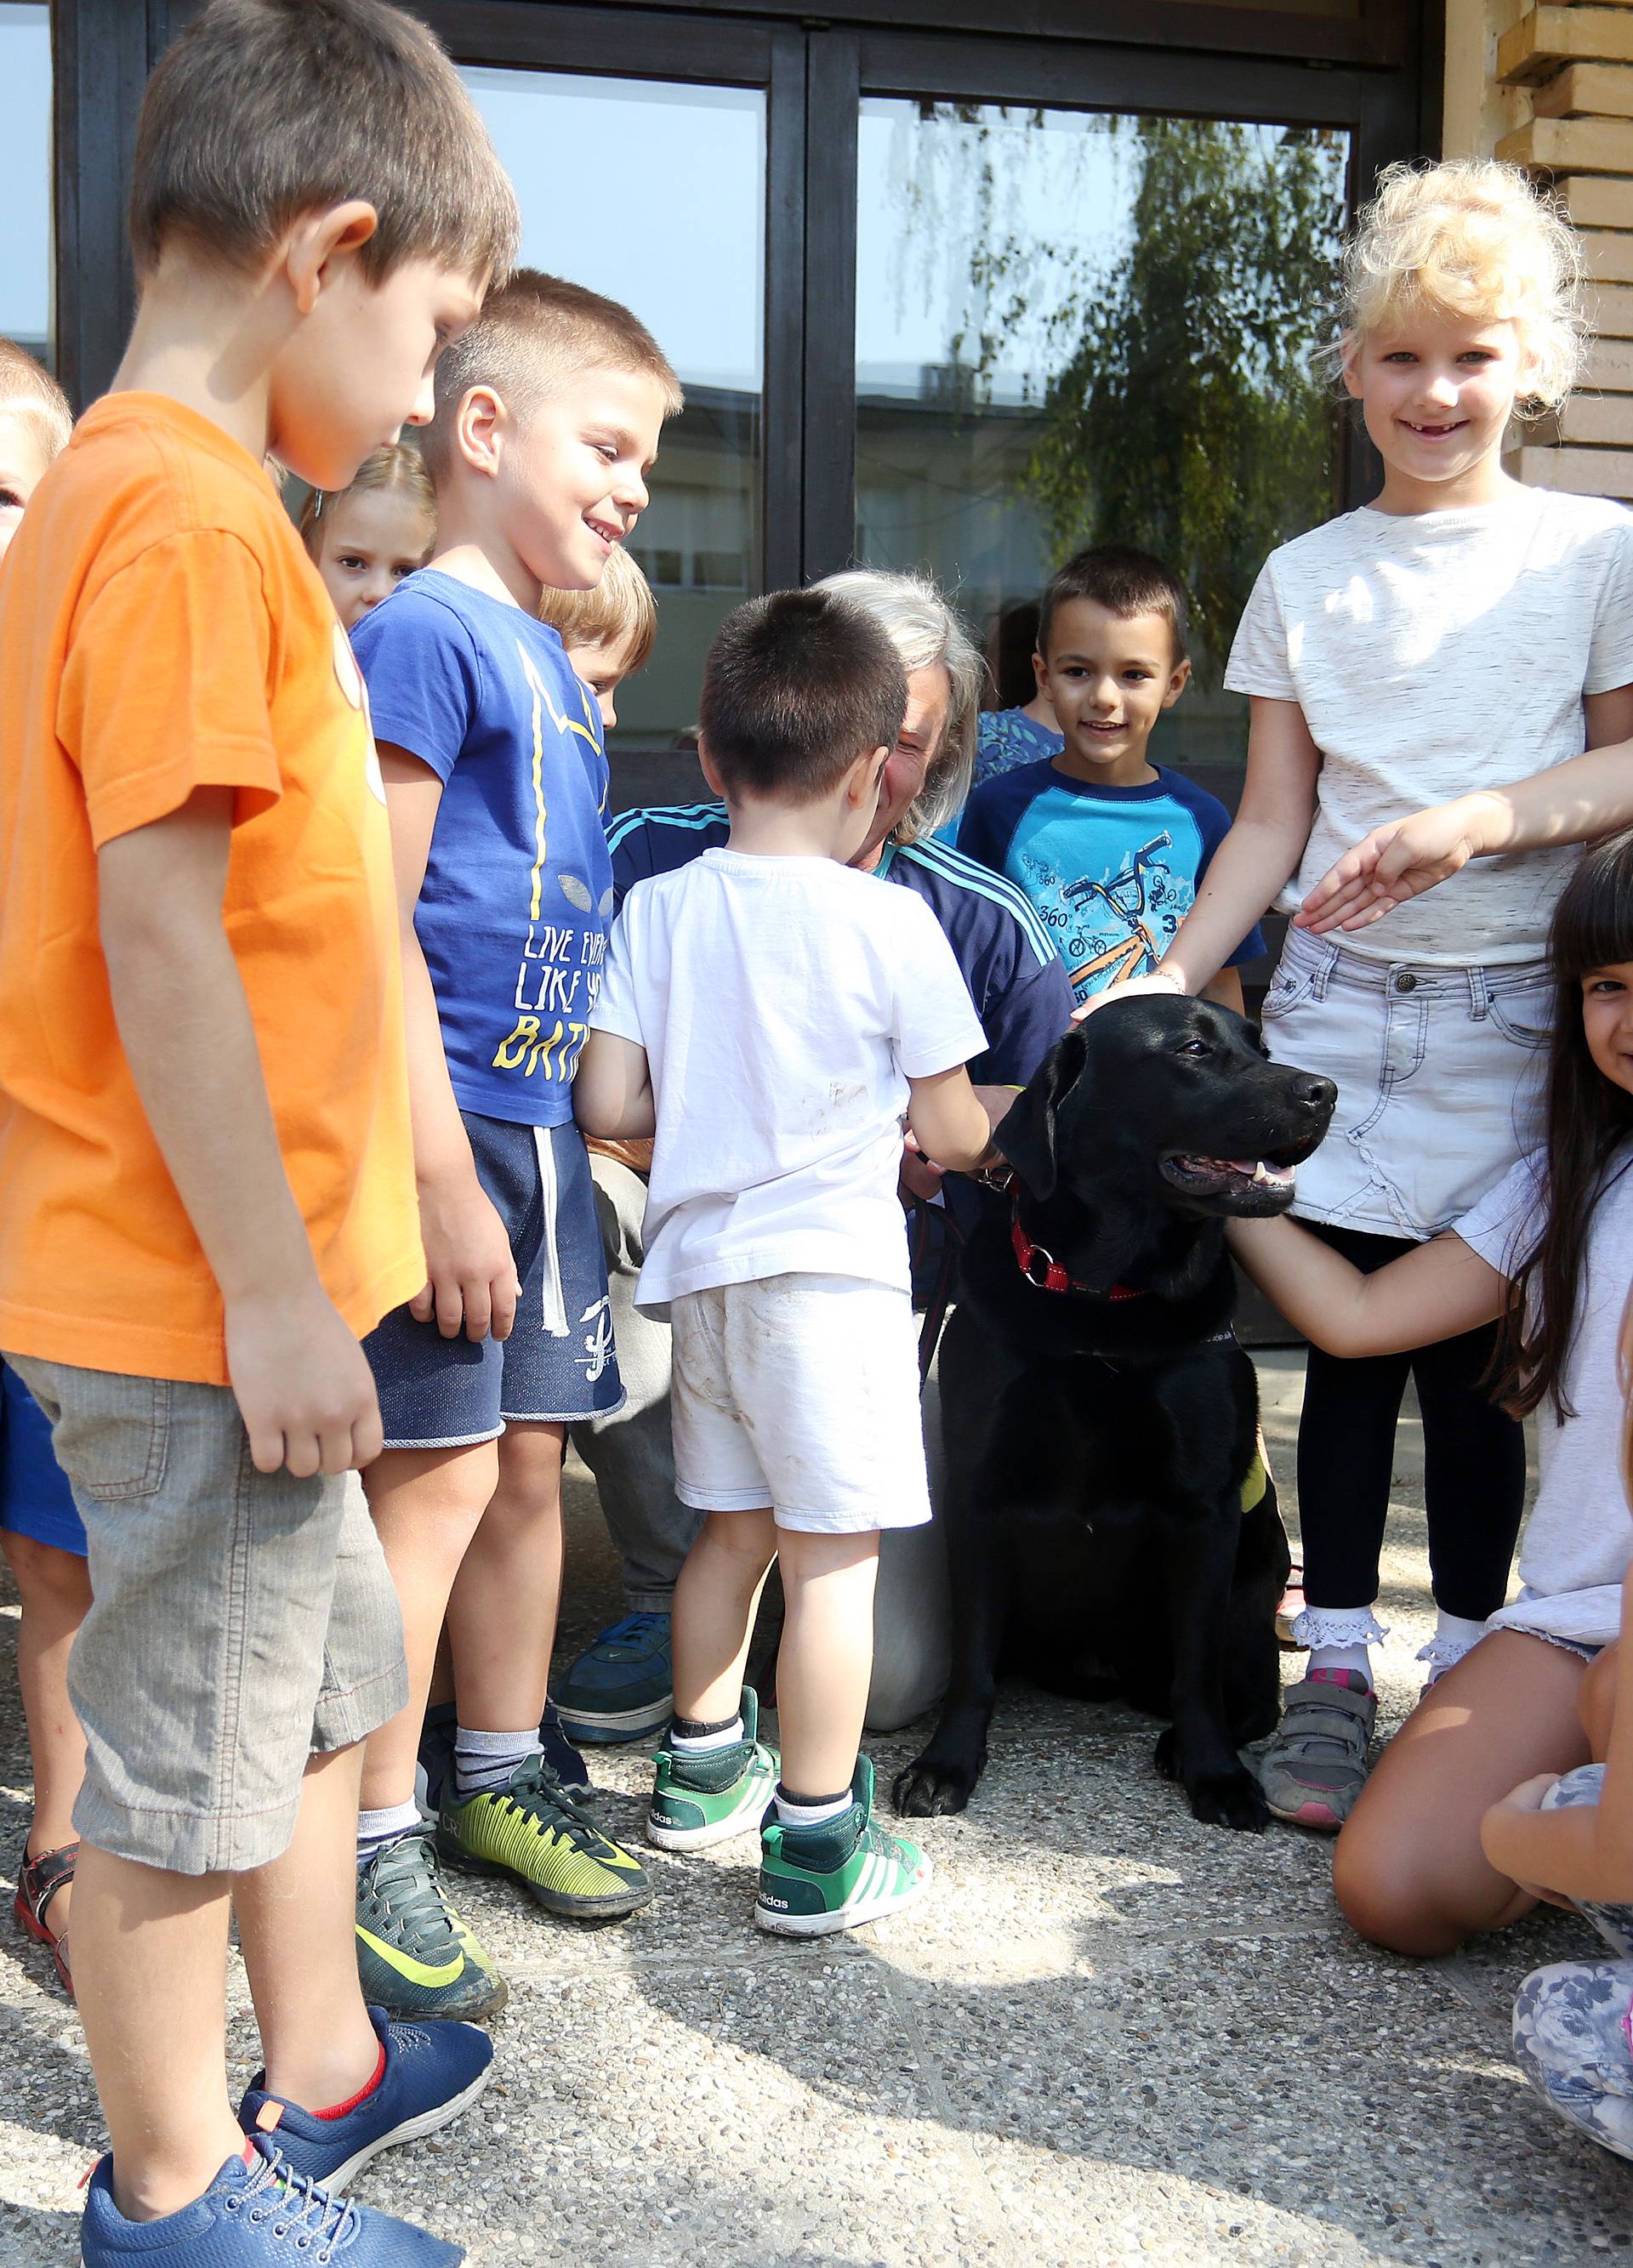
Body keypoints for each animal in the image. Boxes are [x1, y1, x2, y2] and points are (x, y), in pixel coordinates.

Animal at [898, 993, 1334, 1823]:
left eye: (1261, 1048)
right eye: (1194, 1049)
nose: (1324, 1089)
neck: (1103, 1303)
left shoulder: (1204, 1511)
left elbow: (1196, 1673)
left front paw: (1215, 1773)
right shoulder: (979, 1493)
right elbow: (972, 1661)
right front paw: (947, 1762)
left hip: (1255, 1571)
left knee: (1244, 1694)